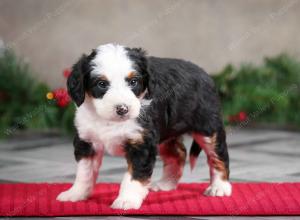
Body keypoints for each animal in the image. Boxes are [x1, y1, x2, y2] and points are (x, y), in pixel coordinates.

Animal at [57, 43, 233, 210]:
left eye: (133, 82)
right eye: (101, 84)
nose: (122, 109)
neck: (111, 121)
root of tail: (205, 74)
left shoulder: (141, 143)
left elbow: (134, 176)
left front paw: (126, 200)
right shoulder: (86, 141)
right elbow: (84, 172)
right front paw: (76, 193)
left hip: (208, 127)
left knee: (218, 155)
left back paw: (219, 187)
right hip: (165, 133)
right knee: (178, 154)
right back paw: (166, 184)